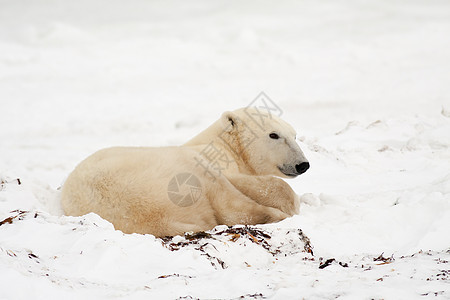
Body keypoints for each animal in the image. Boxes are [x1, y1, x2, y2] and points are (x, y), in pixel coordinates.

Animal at [61, 108, 310, 237]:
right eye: (274, 135)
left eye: (295, 135)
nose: (303, 164)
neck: (225, 145)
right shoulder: (210, 158)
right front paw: (288, 204)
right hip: (172, 170)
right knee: (227, 201)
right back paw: (275, 215)